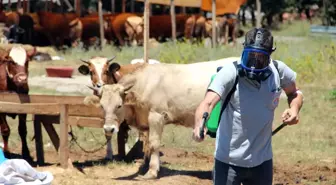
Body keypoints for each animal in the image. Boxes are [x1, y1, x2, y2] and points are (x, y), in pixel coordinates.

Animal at [85, 56, 240, 179]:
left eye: (119, 105)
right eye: (102, 106)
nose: (109, 129)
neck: (144, 84)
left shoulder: (156, 116)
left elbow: (154, 143)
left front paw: (152, 171)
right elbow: (147, 144)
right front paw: (145, 165)